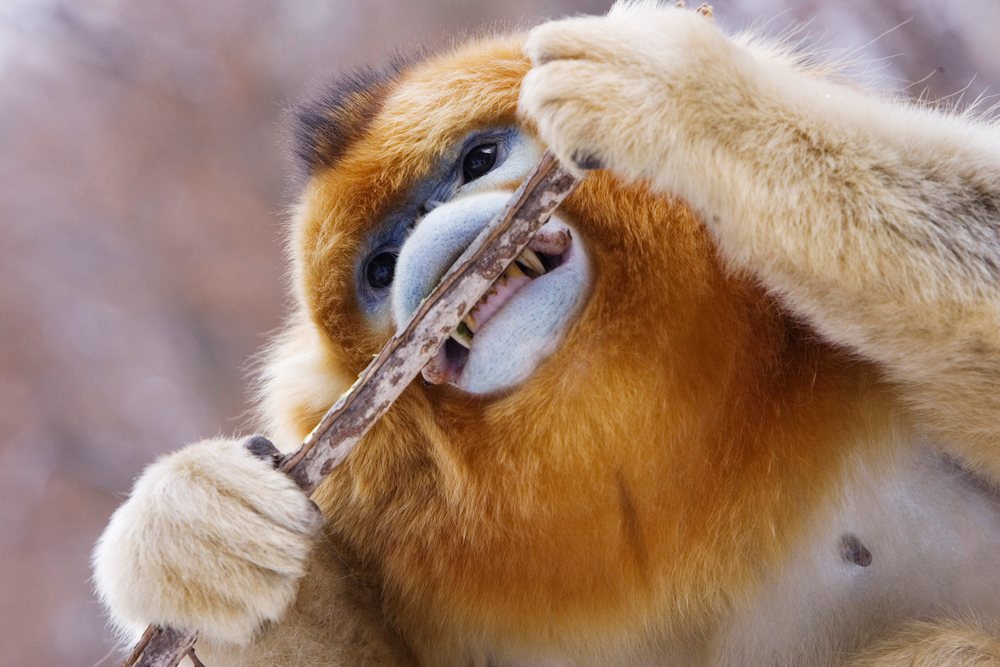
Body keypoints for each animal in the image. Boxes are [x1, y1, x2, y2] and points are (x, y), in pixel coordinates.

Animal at [93, 2, 1000, 665]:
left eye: (478, 160)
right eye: (381, 269)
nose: (423, 250)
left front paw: (680, 100)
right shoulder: (352, 475)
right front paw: (191, 530)